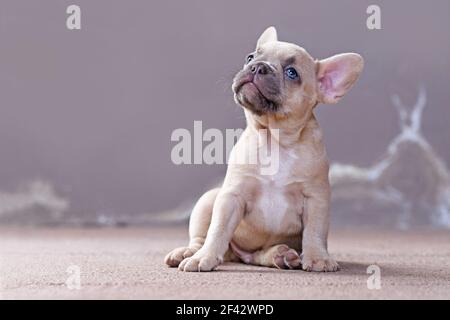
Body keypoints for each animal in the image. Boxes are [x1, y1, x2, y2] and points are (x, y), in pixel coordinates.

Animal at [163, 26, 364, 272]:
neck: (274, 140)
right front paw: (204, 257)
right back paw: (189, 252)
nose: (258, 67)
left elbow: (315, 231)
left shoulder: (316, 199)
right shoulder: (231, 197)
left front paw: (318, 257)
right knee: (202, 237)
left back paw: (282, 255)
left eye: (292, 73)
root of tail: (236, 256)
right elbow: (218, 229)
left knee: (257, 256)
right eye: (250, 57)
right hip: (208, 200)